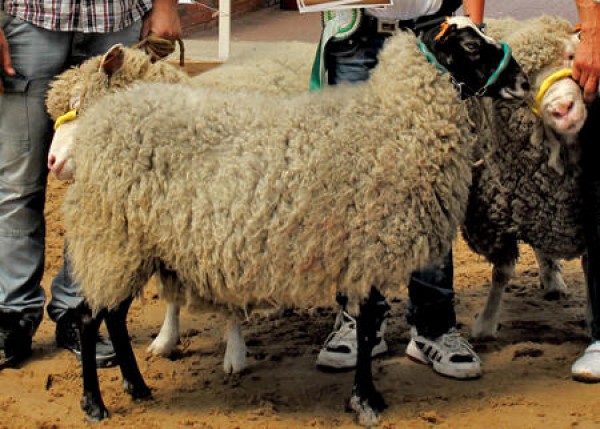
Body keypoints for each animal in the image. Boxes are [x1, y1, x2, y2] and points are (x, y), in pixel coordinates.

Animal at [56, 17, 527, 425]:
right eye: (470, 47)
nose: (522, 82)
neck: (393, 119)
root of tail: (100, 124)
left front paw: (365, 395)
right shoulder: (369, 245)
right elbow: (368, 325)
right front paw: (366, 400)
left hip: (131, 244)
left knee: (113, 316)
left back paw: (137, 387)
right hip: (113, 238)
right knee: (89, 319)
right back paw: (95, 404)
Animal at [461, 16, 589, 339]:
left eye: (572, 56)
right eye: (526, 83)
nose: (562, 109)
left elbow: (588, 264)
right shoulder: (493, 221)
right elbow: (501, 273)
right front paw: (486, 322)